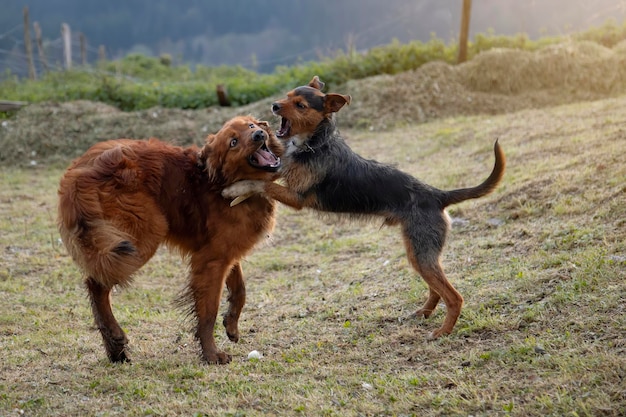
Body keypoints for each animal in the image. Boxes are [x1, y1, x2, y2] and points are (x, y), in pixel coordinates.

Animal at [57, 114, 282, 364]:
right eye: (233, 142)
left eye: (251, 126)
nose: (259, 135)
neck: (221, 183)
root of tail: (79, 171)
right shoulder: (210, 260)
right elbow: (208, 311)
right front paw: (211, 354)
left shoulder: (225, 253)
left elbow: (240, 290)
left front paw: (231, 325)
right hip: (137, 241)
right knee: (95, 284)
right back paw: (115, 337)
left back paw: (116, 351)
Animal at [222, 77, 504, 338]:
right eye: (287, 96)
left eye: (300, 105)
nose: (274, 106)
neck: (315, 142)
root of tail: (437, 195)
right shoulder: (283, 168)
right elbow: (271, 168)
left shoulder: (297, 197)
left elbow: (262, 184)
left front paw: (236, 188)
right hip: (418, 252)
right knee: (437, 289)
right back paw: (425, 312)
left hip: (422, 252)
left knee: (454, 297)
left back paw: (443, 331)